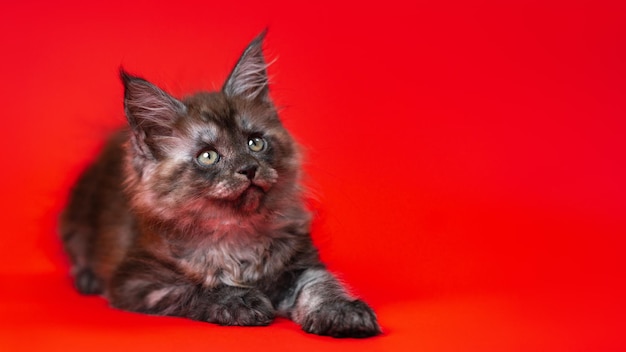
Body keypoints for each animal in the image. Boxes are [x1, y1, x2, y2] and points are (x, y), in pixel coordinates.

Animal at [58, 33, 380, 338]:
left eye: (255, 142)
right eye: (208, 156)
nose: (248, 169)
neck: (235, 231)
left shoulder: (301, 264)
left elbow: (321, 286)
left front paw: (342, 312)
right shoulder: (137, 281)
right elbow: (194, 287)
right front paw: (240, 300)